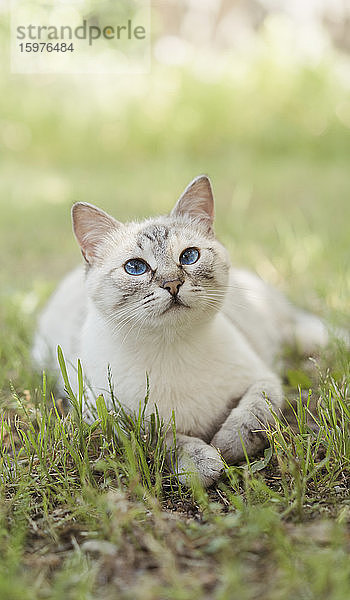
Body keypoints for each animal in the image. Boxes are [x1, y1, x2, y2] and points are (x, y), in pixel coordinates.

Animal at [32, 176, 328, 486]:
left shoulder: (263, 379)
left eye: (189, 256)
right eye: (135, 267)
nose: (172, 283)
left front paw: (227, 446)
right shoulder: (113, 418)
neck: (172, 348)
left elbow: (253, 413)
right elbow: (164, 439)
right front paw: (202, 464)